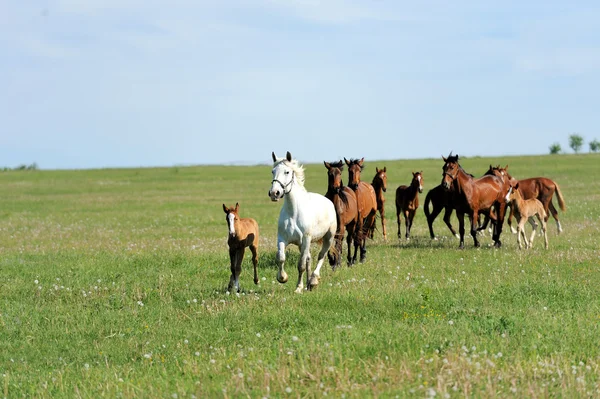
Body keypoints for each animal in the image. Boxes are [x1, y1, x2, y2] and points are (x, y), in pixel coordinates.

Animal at [268, 152, 338, 292]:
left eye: (287, 172)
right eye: (273, 171)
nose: (274, 193)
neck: (293, 213)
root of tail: (329, 202)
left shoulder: (306, 239)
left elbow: (301, 265)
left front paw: (298, 288)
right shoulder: (282, 239)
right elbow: (281, 258)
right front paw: (282, 277)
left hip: (328, 238)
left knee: (321, 256)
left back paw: (313, 281)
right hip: (302, 244)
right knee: (309, 259)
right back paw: (308, 284)